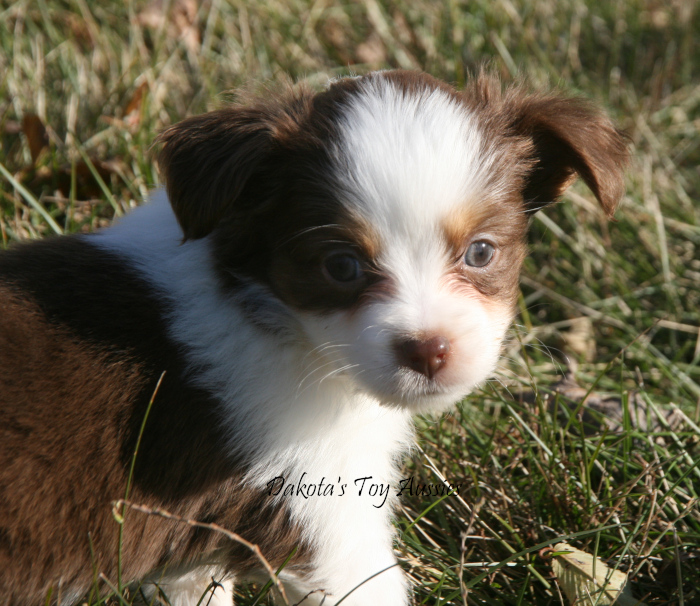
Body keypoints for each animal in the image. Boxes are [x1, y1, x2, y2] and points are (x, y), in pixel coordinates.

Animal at [0, 72, 628, 606]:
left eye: (480, 252)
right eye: (341, 266)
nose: (428, 350)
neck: (260, 301)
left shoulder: (192, 550)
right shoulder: (326, 515)